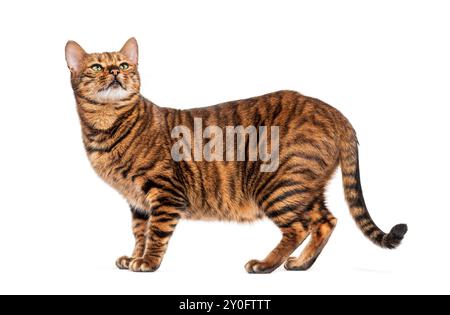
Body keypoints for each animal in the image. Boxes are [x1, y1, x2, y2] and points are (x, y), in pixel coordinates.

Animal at [66, 37, 408, 274]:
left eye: (124, 65)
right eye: (96, 66)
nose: (115, 71)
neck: (106, 127)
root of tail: (334, 112)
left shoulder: (164, 192)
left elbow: (156, 233)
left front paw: (147, 262)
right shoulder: (137, 202)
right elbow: (140, 233)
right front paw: (135, 257)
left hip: (278, 184)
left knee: (298, 228)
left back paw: (266, 264)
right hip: (304, 188)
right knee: (326, 221)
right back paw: (301, 264)